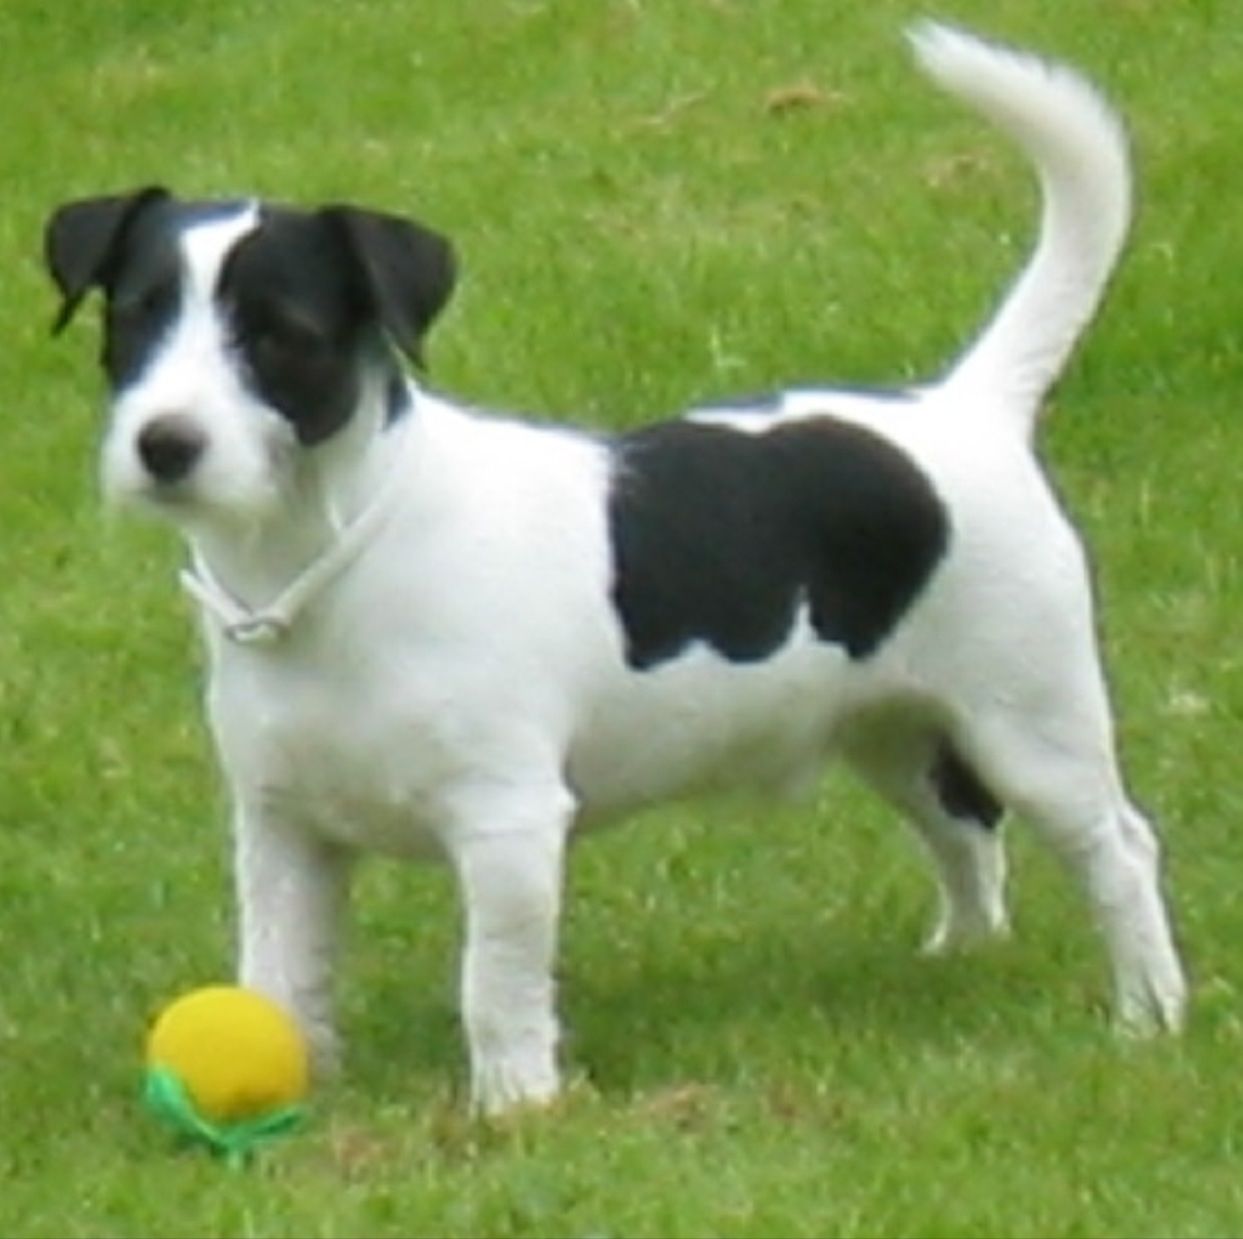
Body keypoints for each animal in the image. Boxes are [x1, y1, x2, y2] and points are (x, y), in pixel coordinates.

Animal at [41, 26, 1183, 1113]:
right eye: (133, 318)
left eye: (285, 337)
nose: (164, 445)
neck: (332, 551)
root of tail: (963, 408)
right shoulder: (284, 831)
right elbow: (279, 977)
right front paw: (289, 1084)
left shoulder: (505, 823)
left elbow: (494, 984)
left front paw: (515, 1106)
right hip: (887, 727)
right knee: (962, 826)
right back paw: (962, 955)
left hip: (1031, 718)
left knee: (1116, 848)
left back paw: (1149, 1013)